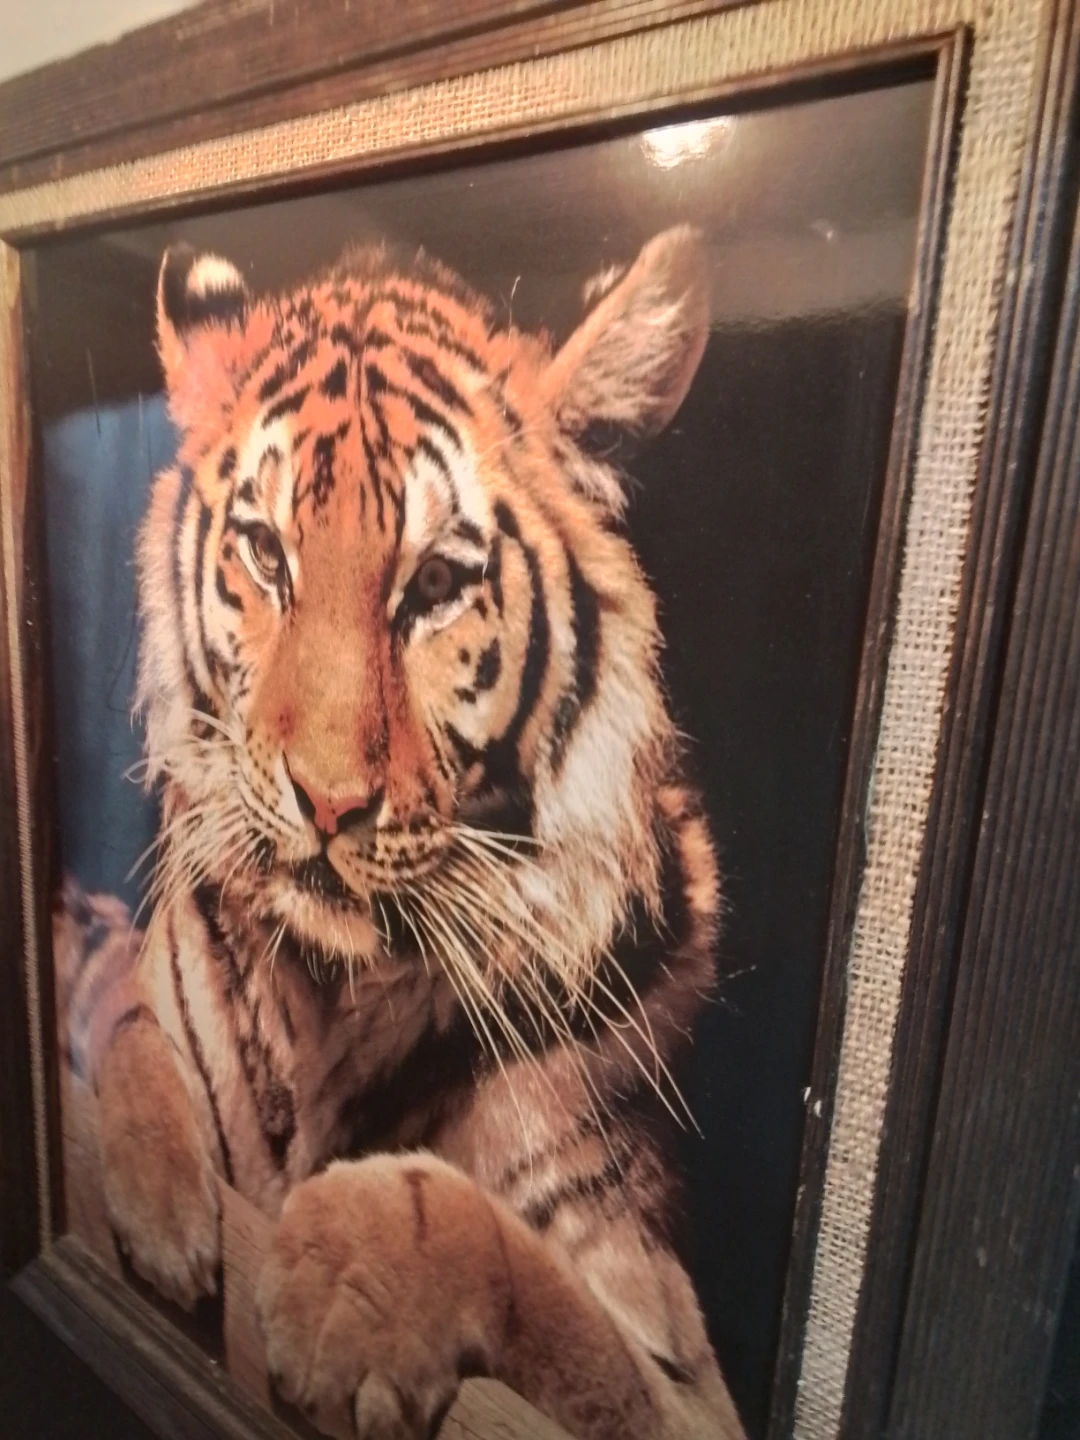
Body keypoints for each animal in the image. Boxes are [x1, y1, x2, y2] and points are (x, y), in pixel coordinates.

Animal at [63, 225, 747, 1440]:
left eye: (434, 583)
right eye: (265, 553)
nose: (329, 801)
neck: (333, 1000)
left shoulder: (678, 1357)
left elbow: (524, 1269)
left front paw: (344, 1277)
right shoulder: (135, 977)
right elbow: (134, 1027)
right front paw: (164, 1218)